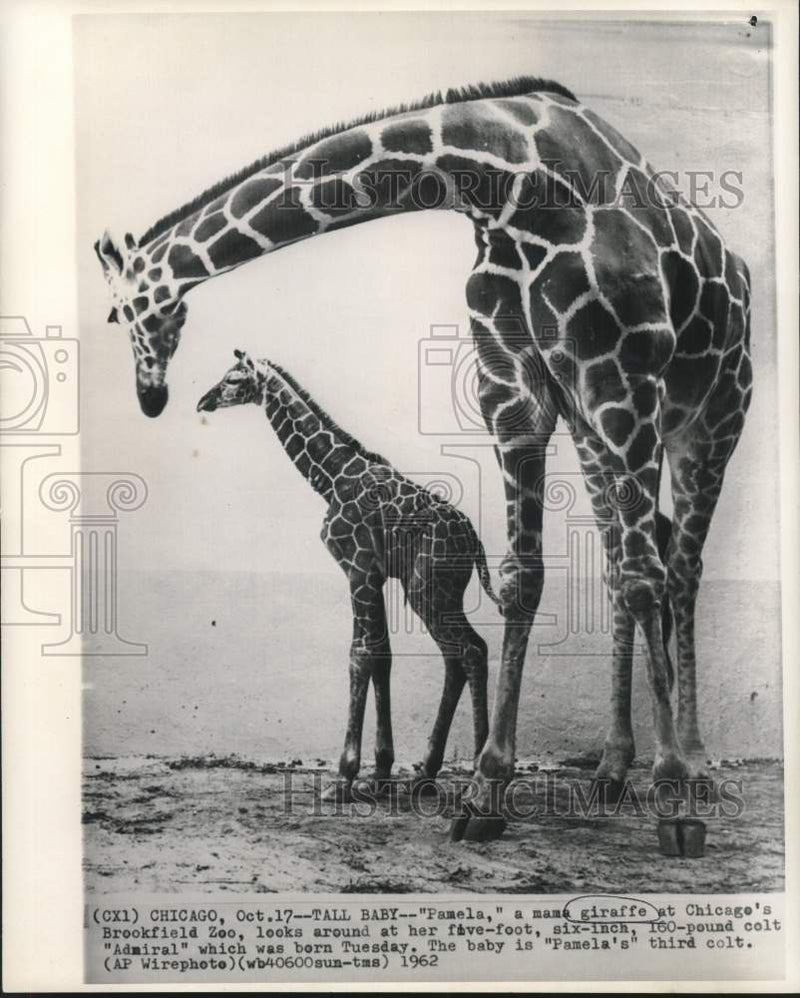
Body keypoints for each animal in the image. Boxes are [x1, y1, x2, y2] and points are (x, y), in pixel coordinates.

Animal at [197, 349, 501, 802]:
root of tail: (475, 545)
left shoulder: (356, 569)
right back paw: (425, 775)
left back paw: (478, 777)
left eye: (233, 379)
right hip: (437, 593)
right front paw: (380, 773)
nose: (204, 401)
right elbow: (382, 655)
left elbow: (360, 656)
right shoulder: (372, 575)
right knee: (458, 656)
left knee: (471, 650)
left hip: (428, 589)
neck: (330, 477)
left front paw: (344, 778)